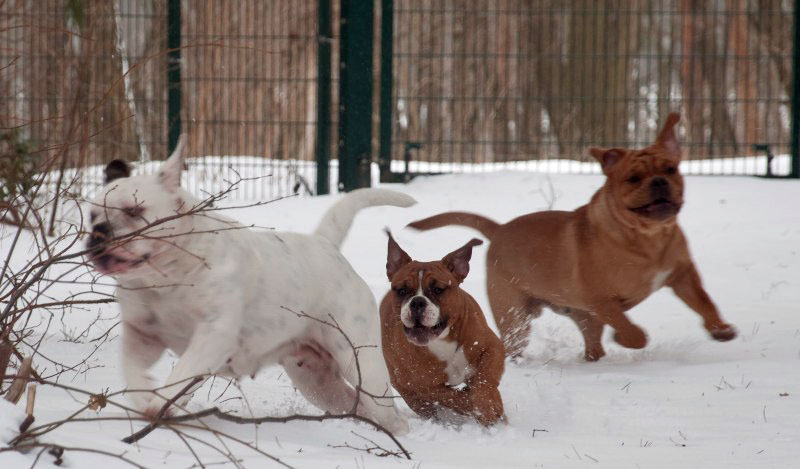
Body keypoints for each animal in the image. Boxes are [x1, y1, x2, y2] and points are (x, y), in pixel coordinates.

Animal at [87, 144, 412, 432]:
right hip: (316, 380)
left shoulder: (213, 335)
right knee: (353, 404)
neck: (167, 276)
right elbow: (133, 371)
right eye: (91, 216)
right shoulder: (141, 336)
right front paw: (146, 400)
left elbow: (182, 372)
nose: (99, 232)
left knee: (389, 413)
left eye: (133, 211)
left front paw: (162, 403)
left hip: (360, 363)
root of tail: (324, 243)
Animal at [378, 233, 504, 424]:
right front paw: (483, 407)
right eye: (401, 290)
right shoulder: (425, 387)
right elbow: (456, 399)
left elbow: (485, 378)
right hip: (408, 391)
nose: (417, 302)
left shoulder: (491, 346)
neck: (442, 339)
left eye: (438, 289)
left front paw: (488, 402)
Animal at [410, 111, 740, 360]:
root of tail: (500, 229)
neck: (647, 239)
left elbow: (705, 302)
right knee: (515, 343)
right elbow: (629, 329)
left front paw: (720, 328)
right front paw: (627, 338)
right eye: (633, 178)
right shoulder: (601, 300)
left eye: (670, 169)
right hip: (514, 315)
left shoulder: (683, 275)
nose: (659, 181)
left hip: (581, 318)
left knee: (592, 347)